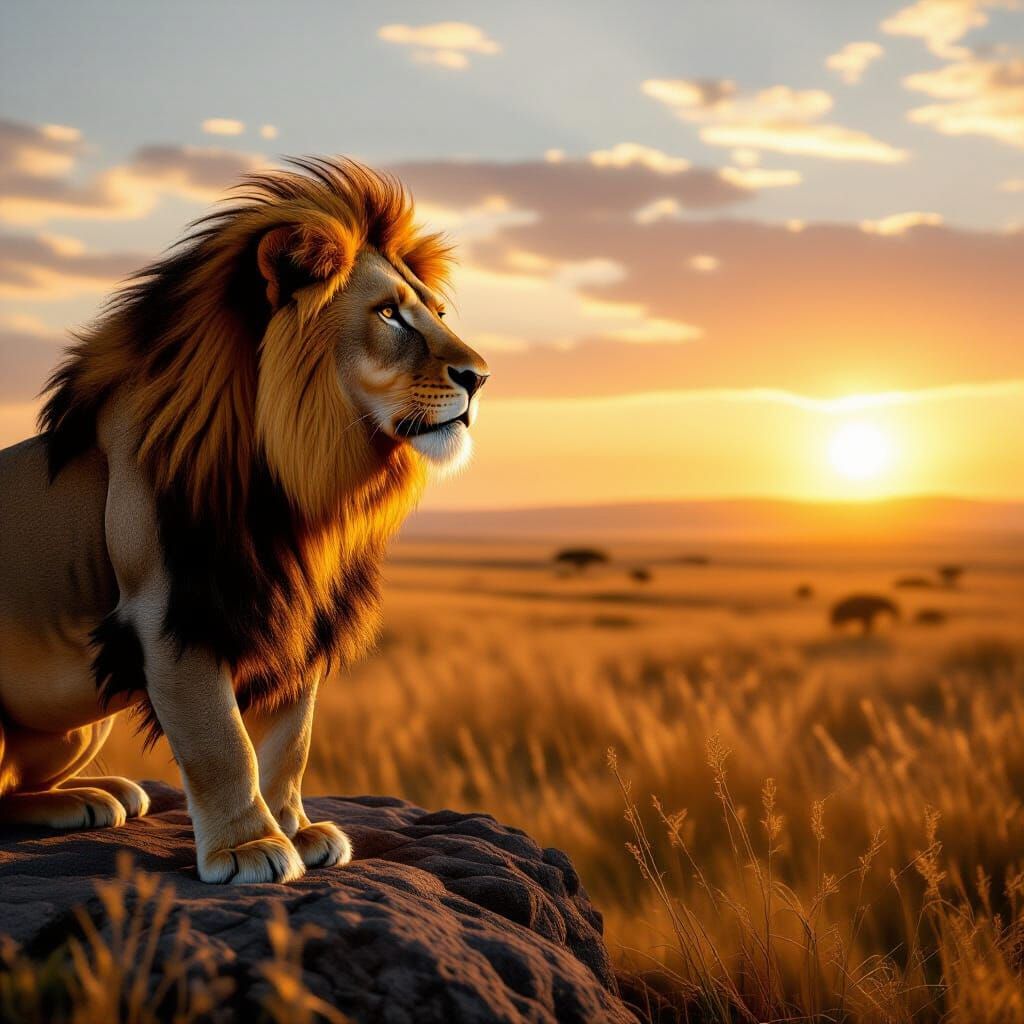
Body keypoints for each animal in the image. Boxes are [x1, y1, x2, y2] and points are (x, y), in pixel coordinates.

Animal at [0, 158, 489, 883]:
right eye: (388, 313)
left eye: (438, 314)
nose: (480, 376)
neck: (302, 484)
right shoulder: (173, 608)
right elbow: (221, 741)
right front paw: (247, 846)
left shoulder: (301, 612)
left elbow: (289, 740)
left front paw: (296, 828)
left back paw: (93, 795)